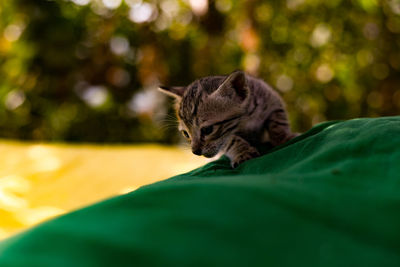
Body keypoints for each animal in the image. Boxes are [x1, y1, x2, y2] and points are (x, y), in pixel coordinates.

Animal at [159, 70, 296, 169]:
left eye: (207, 130)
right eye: (186, 134)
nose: (195, 151)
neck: (245, 119)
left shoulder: (272, 99)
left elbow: (278, 123)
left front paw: (284, 137)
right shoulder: (225, 138)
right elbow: (231, 140)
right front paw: (242, 152)